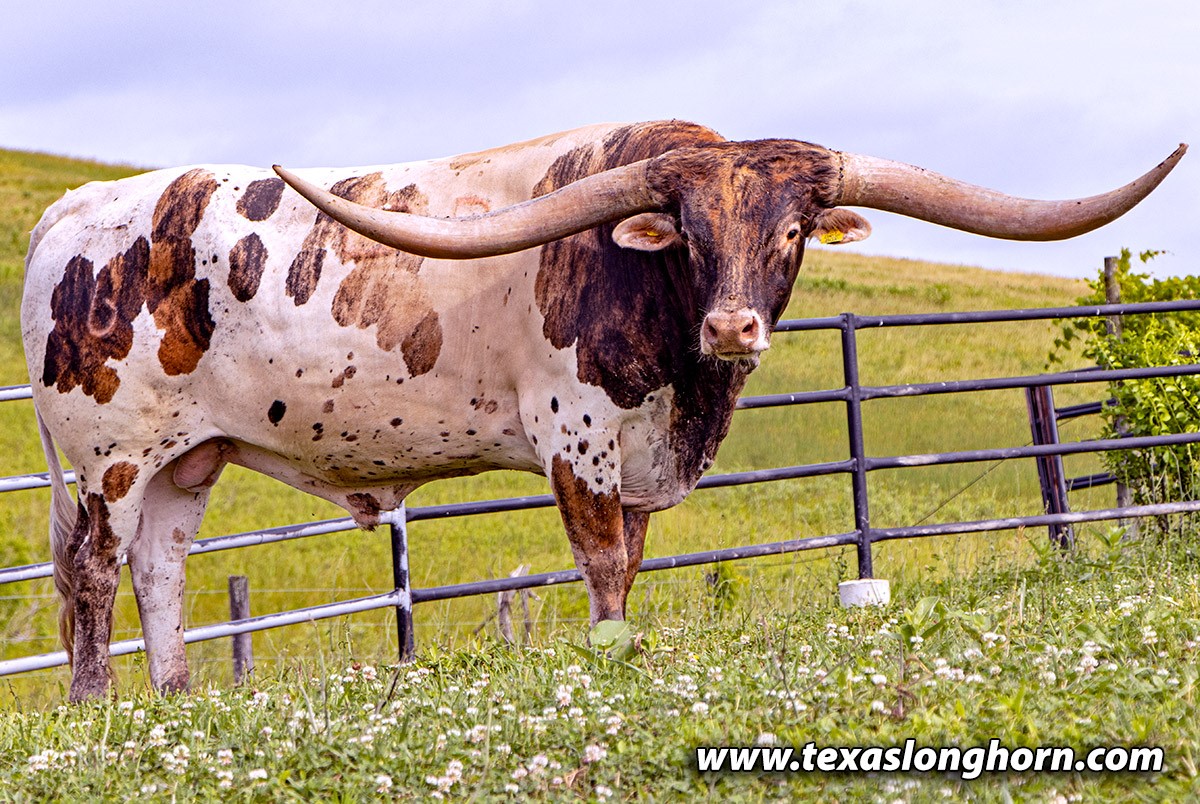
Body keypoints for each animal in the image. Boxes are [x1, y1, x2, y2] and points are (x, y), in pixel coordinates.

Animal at [22, 121, 1183, 701]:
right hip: (108, 454)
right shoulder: (575, 438)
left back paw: (180, 694)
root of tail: (70, 210)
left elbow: (632, 550)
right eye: (687, 230)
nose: (734, 326)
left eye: (791, 230)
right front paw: (610, 648)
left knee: (162, 566)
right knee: (92, 571)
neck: (685, 386)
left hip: (190, 455)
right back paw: (100, 705)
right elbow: (603, 562)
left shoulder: (643, 456)